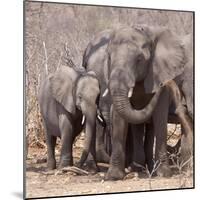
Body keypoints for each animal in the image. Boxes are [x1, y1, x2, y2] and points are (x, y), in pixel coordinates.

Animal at [83, 25, 186, 180]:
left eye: (139, 59)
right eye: (109, 58)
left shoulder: (159, 75)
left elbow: (160, 118)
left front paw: (164, 174)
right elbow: (119, 119)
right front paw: (114, 176)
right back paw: (135, 167)